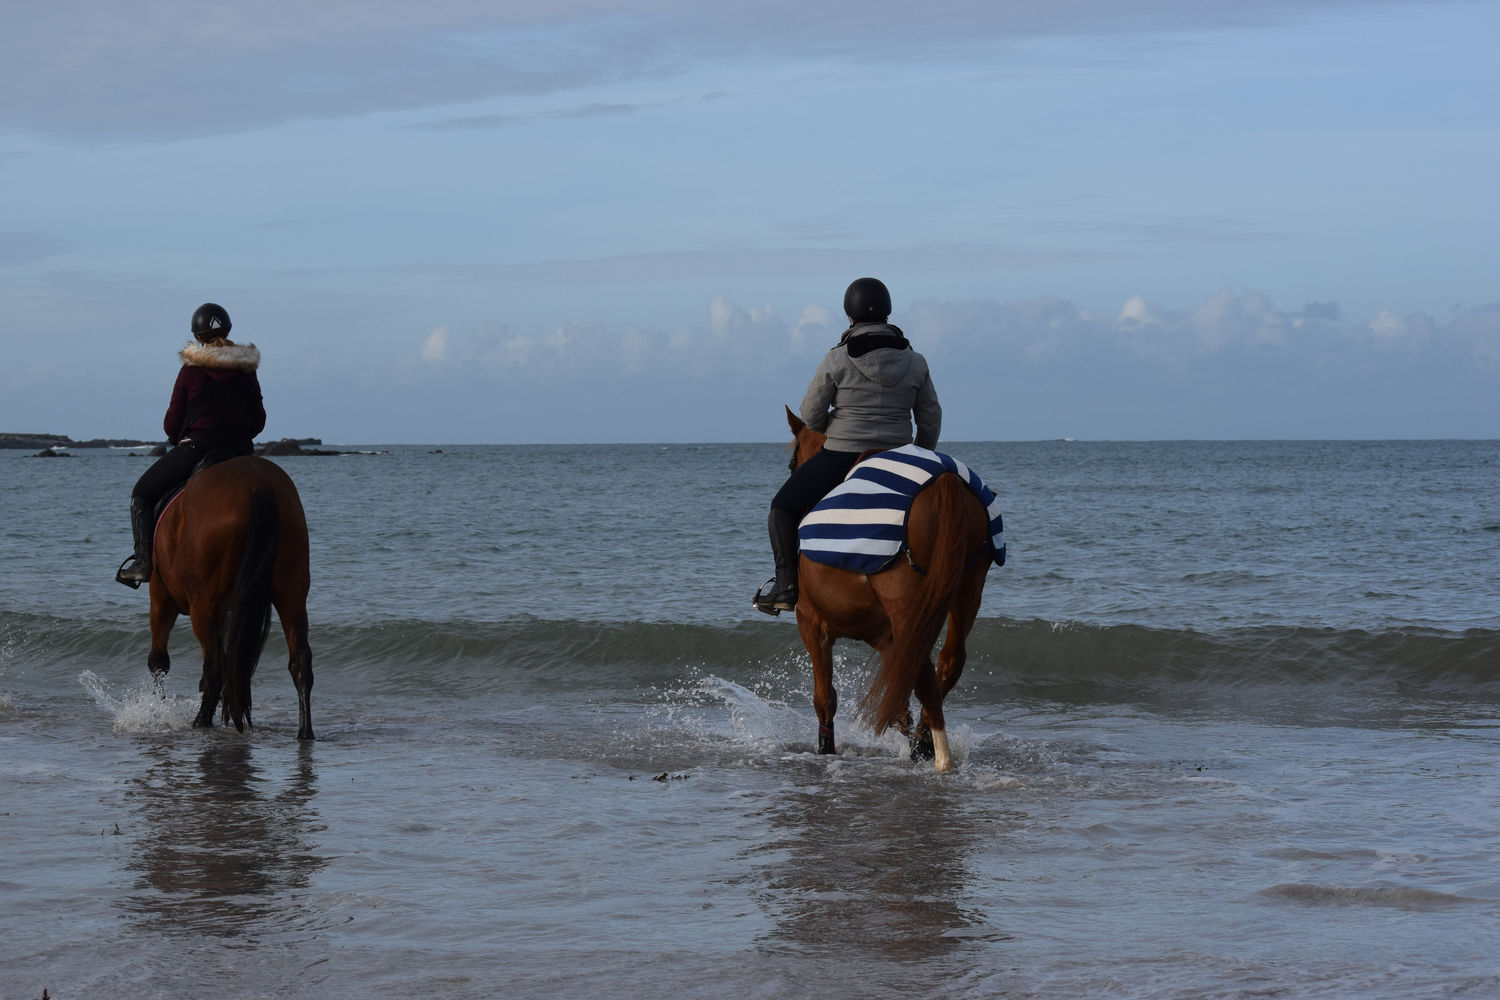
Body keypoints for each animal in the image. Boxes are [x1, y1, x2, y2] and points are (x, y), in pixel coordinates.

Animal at [146, 458, 313, 740]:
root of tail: (259, 485)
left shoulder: (161, 596)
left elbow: (158, 661)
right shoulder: (225, 613)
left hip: (202, 607)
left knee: (214, 668)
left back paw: (200, 722)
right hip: (292, 595)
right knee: (299, 663)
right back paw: (305, 732)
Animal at [780, 407, 990, 773]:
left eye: (793, 464)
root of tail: (945, 480)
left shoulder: (812, 623)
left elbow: (825, 698)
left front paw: (825, 749)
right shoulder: (885, 637)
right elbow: (899, 697)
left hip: (906, 605)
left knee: (925, 675)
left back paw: (940, 757)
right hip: (967, 590)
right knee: (946, 664)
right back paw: (924, 743)